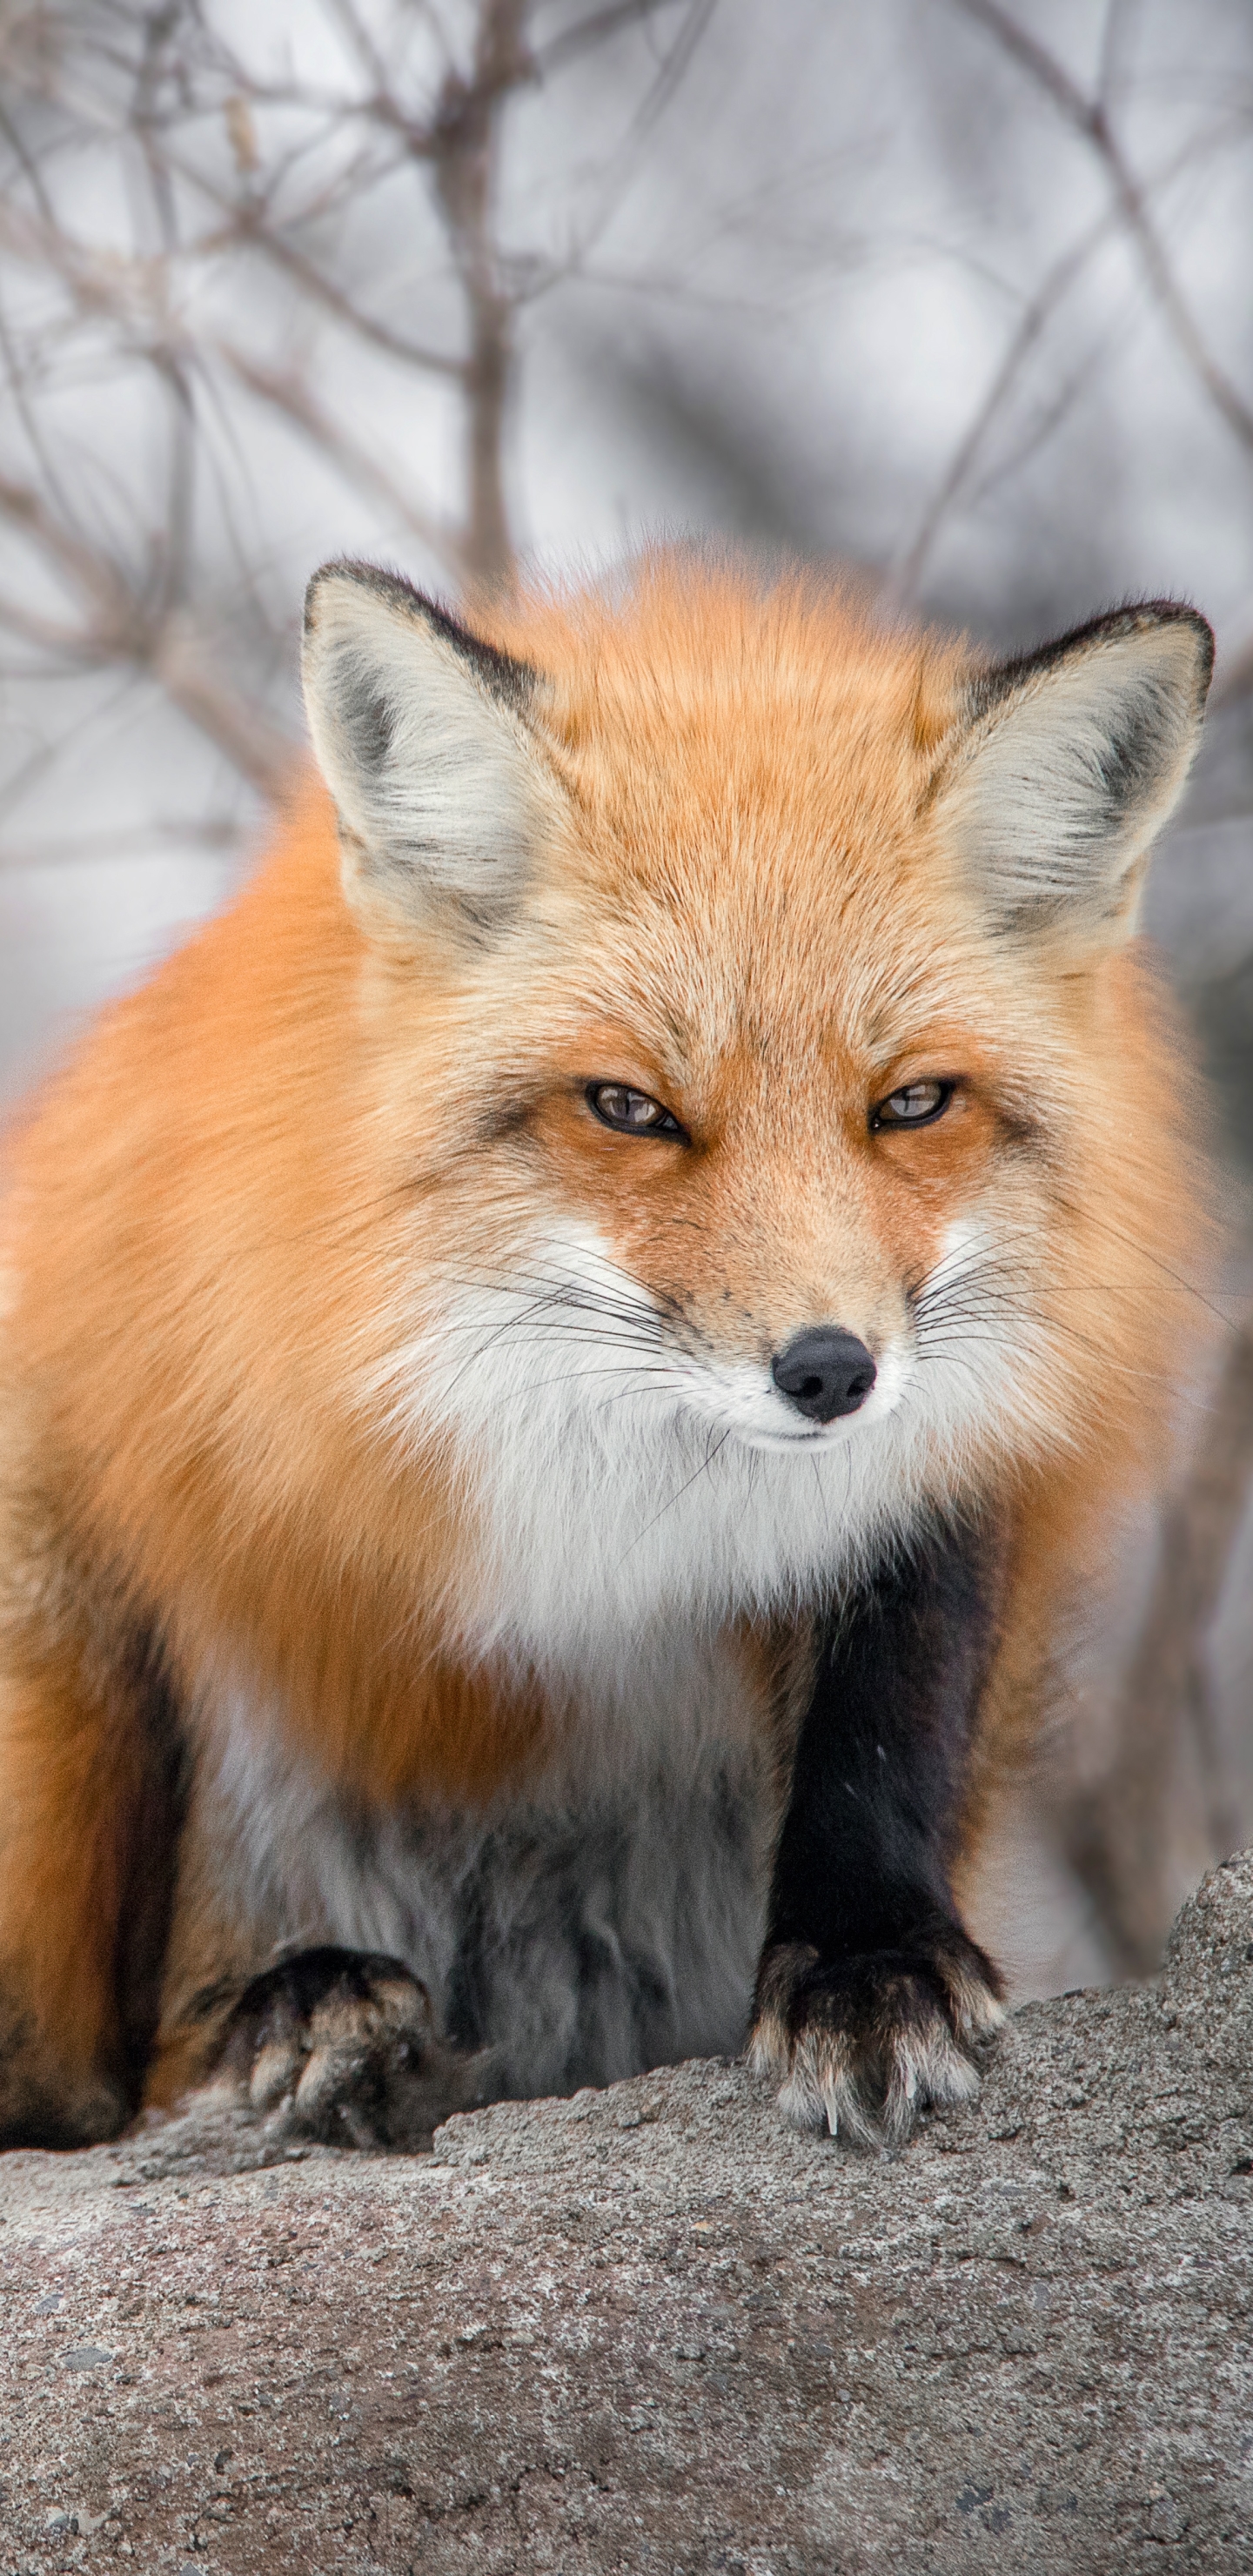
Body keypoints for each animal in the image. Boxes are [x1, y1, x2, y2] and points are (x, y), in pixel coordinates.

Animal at [0, 553, 1211, 2163]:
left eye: (912, 1103)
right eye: (631, 1108)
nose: (829, 1371)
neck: (629, 1500)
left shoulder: (953, 1455)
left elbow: (884, 1728)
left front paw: (868, 1967)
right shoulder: (223, 1476)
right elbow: (223, 1878)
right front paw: (275, 2014)